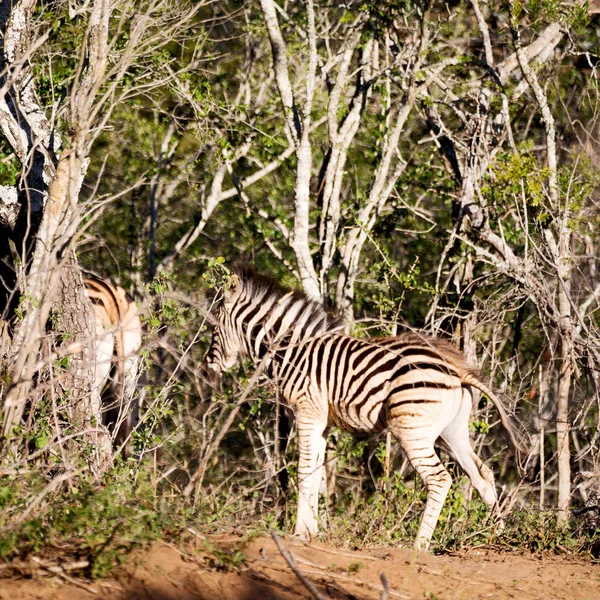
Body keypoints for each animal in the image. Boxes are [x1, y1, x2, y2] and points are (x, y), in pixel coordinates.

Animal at [205, 270, 520, 552]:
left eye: (213, 328)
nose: (208, 364)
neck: (292, 352)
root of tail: (455, 370)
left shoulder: (307, 413)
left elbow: (304, 471)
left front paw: (298, 533)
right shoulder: (322, 422)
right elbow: (317, 473)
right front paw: (311, 532)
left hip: (412, 431)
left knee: (440, 479)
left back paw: (419, 545)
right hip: (452, 433)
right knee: (482, 475)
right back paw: (499, 536)